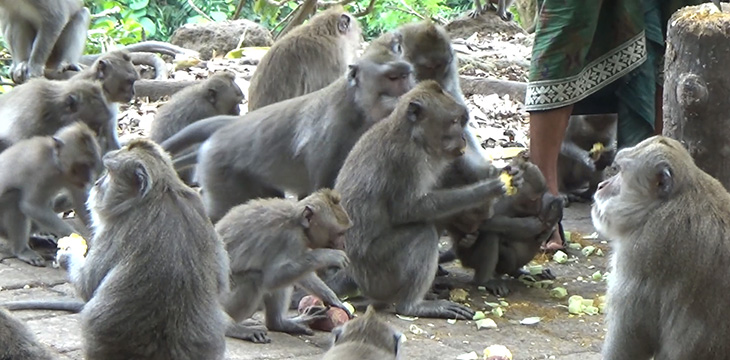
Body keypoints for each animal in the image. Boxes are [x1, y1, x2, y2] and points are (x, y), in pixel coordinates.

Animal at [0, 122, 101, 266]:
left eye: (92, 165)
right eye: (83, 166)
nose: (89, 178)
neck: (56, 164)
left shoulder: (72, 180)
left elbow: (81, 202)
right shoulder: (41, 169)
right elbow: (31, 206)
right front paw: (72, 236)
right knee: (14, 196)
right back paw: (22, 250)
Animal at [57, 139, 228, 360]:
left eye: (109, 172)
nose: (97, 183)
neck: (162, 191)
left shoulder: (117, 228)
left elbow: (89, 285)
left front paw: (68, 254)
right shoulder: (197, 205)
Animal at [216, 188, 352, 344]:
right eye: (340, 233)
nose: (344, 245)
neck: (297, 222)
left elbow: (302, 275)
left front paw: (333, 299)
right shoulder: (290, 239)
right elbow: (271, 278)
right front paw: (328, 256)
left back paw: (278, 324)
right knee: (255, 279)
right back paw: (233, 328)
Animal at [332, 80, 516, 320]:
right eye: (454, 122)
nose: (463, 138)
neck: (414, 137)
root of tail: (354, 273)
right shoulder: (406, 159)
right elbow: (408, 210)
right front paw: (485, 190)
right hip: (377, 272)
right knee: (423, 233)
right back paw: (412, 306)